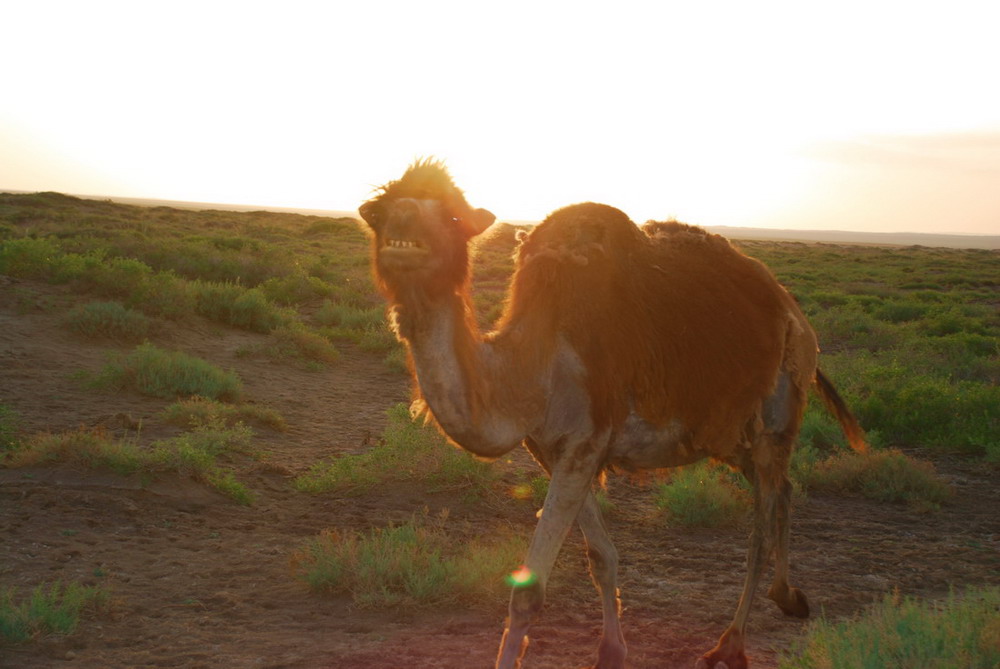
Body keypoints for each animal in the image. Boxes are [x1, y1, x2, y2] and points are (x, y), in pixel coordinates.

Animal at [358, 160, 868, 668]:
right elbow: (601, 557)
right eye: (379, 211)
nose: (403, 219)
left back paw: (730, 645)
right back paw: (788, 597)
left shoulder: (585, 442)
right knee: (783, 488)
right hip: (732, 437)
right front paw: (611, 650)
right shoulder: (554, 450)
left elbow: (528, 592)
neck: (531, 366)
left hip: (777, 411)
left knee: (759, 527)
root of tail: (793, 312)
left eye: (453, 216)